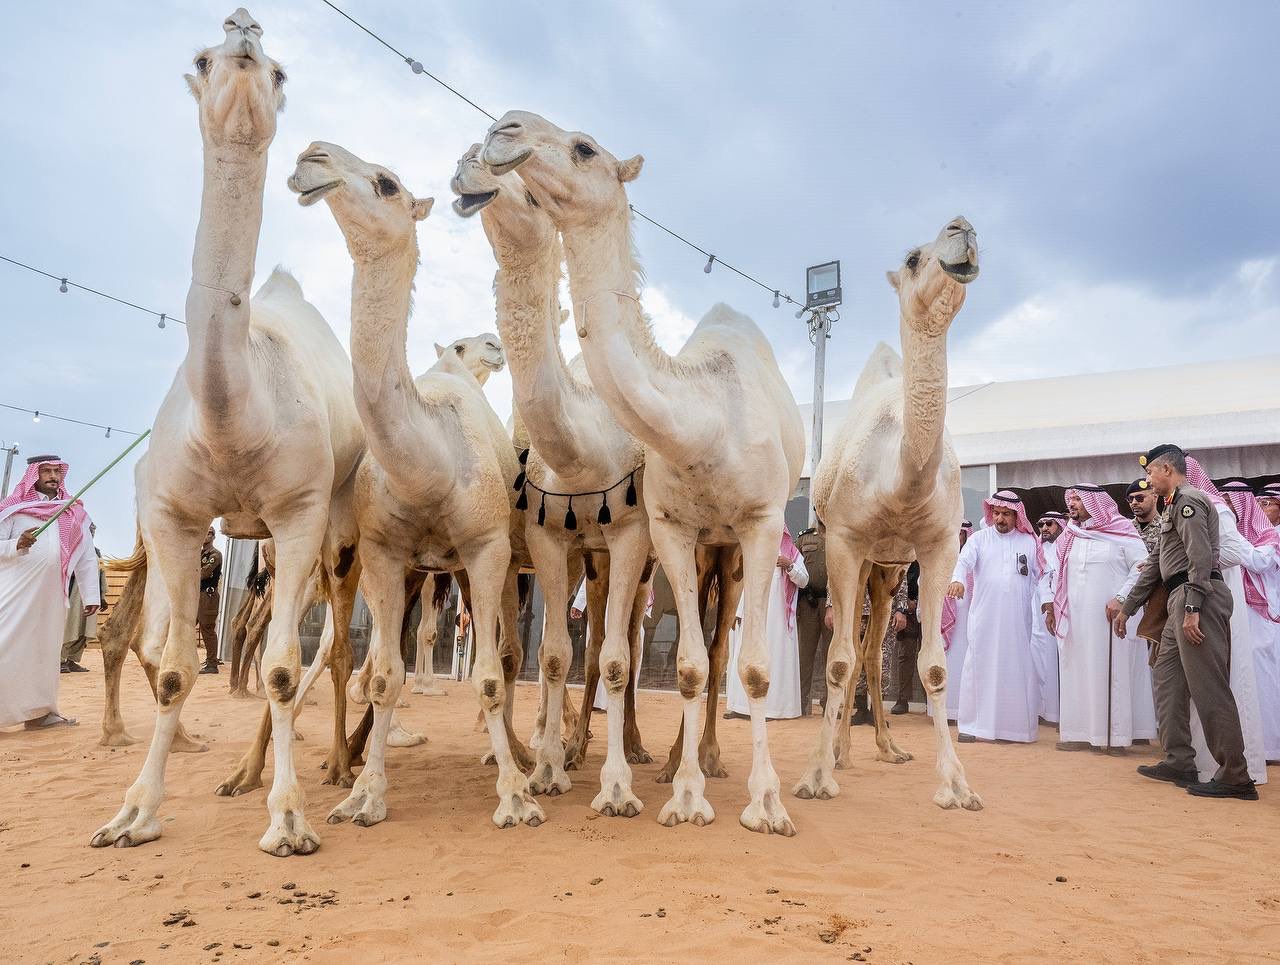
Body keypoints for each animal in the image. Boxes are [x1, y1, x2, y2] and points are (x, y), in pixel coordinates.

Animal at [92, 5, 363, 849]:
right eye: (203, 58)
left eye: (278, 71)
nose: (244, 25)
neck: (230, 407)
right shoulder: (172, 514)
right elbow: (177, 667)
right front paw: (134, 811)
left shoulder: (302, 509)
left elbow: (280, 666)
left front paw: (290, 818)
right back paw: (236, 767)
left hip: (335, 528)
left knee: (325, 645)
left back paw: (330, 763)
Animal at [290, 138, 540, 824]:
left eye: (386, 183)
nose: (311, 155)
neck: (430, 463)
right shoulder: (383, 552)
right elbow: (383, 674)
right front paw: (364, 794)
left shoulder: (487, 549)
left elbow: (487, 675)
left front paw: (515, 797)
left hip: (496, 565)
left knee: (508, 658)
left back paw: (521, 757)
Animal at [450, 148, 655, 813]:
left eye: (532, 192)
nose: (468, 162)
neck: (581, 452)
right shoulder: (543, 540)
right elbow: (548, 654)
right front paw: (541, 770)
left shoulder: (631, 532)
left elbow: (612, 659)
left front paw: (615, 786)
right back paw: (559, 745)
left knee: (625, 648)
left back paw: (630, 748)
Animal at [483, 112, 803, 829]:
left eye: (584, 147)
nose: (503, 128)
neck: (705, 421)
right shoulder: (669, 526)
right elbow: (678, 667)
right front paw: (681, 797)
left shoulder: (760, 524)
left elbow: (753, 668)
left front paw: (765, 803)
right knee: (654, 643)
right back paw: (648, 759)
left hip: (727, 553)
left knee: (718, 649)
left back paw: (705, 758)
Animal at [793, 213, 983, 808]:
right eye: (912, 258)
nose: (963, 227)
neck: (903, 476)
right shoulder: (844, 541)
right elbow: (836, 660)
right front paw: (815, 777)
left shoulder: (938, 545)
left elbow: (935, 667)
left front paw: (957, 785)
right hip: (860, 561)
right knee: (852, 649)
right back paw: (839, 754)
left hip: (889, 569)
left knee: (872, 649)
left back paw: (883, 747)